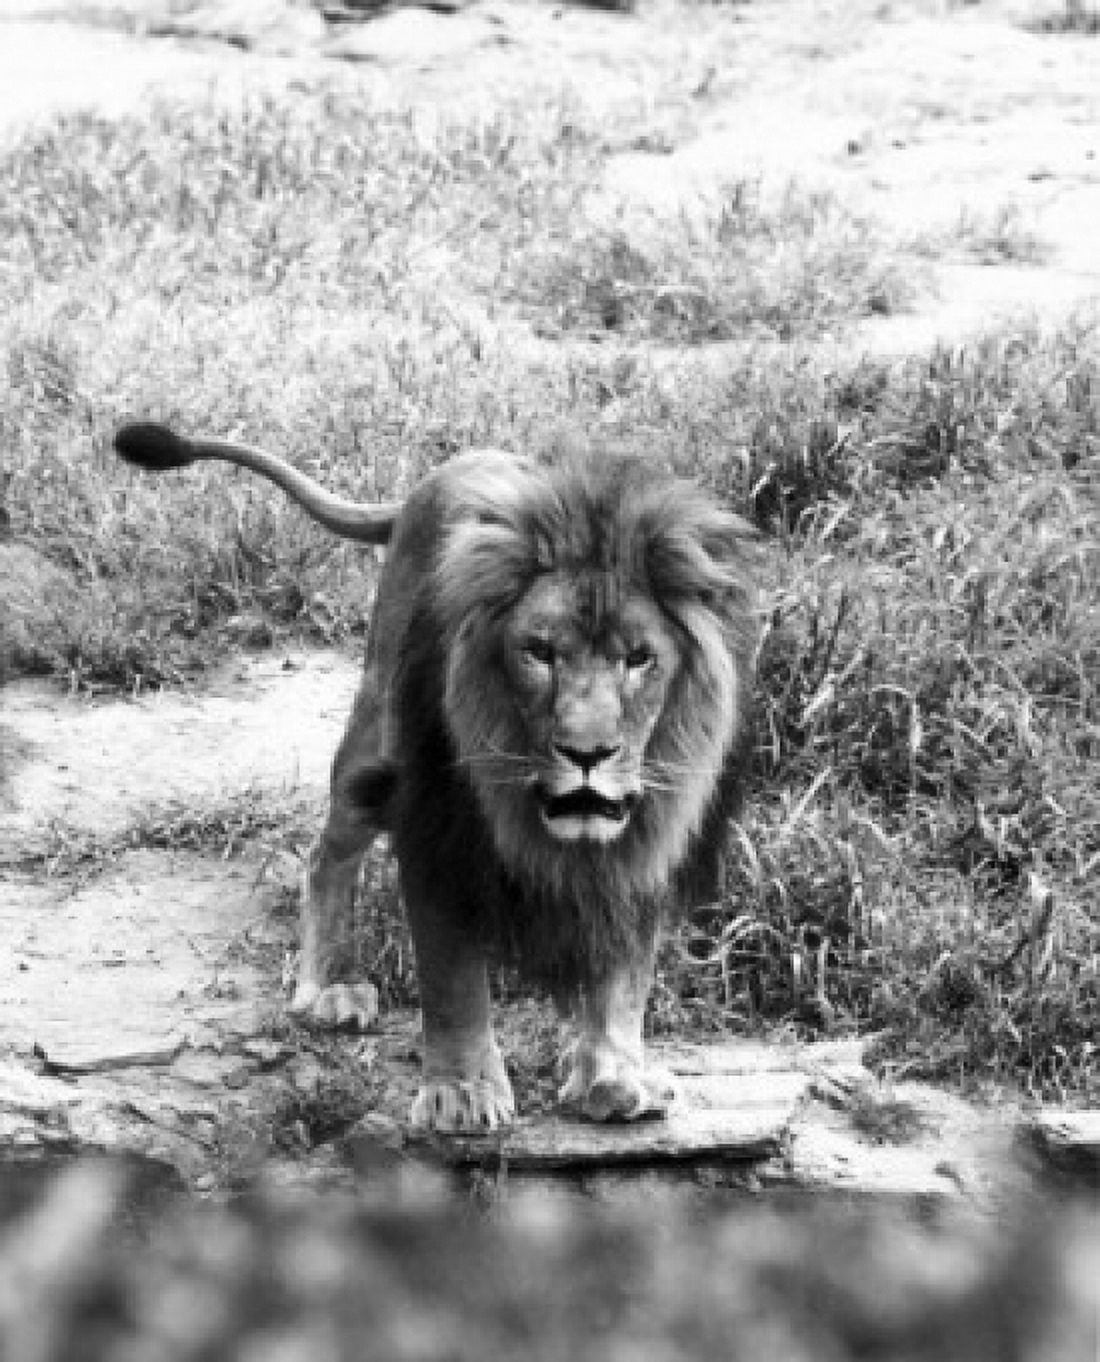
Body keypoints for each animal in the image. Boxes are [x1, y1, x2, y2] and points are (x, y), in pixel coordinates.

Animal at [114, 422, 757, 1133]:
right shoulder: (436, 832)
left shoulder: (646, 843)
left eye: (640, 659)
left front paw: (616, 1076)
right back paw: (330, 985)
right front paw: (462, 1092)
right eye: (538, 652)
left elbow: (626, 970)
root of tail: (440, 474)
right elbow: (452, 979)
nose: (587, 752)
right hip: (374, 738)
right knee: (325, 855)